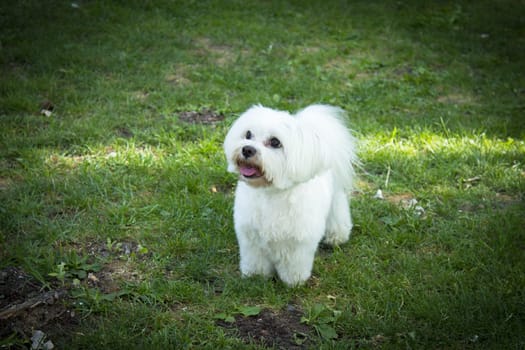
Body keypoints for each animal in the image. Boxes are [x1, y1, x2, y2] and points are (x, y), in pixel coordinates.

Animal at [222, 105, 356, 286]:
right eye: (248, 134)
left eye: (275, 142)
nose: (247, 149)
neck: (271, 193)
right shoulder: (251, 238)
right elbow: (256, 260)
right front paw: (256, 276)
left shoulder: (299, 243)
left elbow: (294, 264)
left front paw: (294, 282)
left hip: (335, 197)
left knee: (338, 213)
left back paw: (337, 237)